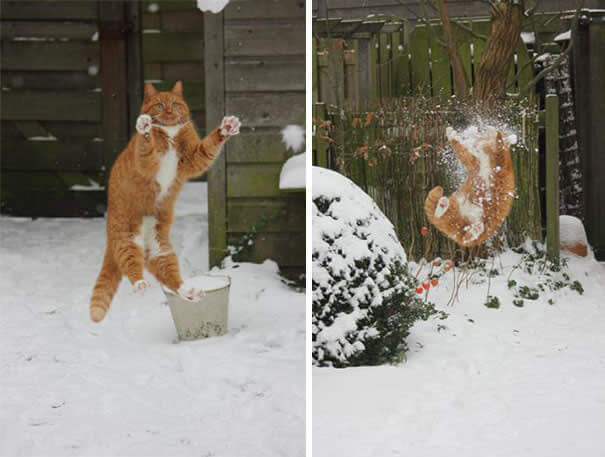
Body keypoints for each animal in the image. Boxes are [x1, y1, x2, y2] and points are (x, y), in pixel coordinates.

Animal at [89, 83, 241, 324]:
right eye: (160, 105)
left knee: (170, 277)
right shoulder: (146, 163)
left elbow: (208, 147)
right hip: (127, 238)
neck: (170, 133)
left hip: (161, 251)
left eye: (176, 104)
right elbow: (145, 147)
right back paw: (140, 283)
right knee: (130, 265)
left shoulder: (193, 159)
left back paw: (188, 291)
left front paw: (226, 128)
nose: (169, 110)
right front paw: (145, 128)